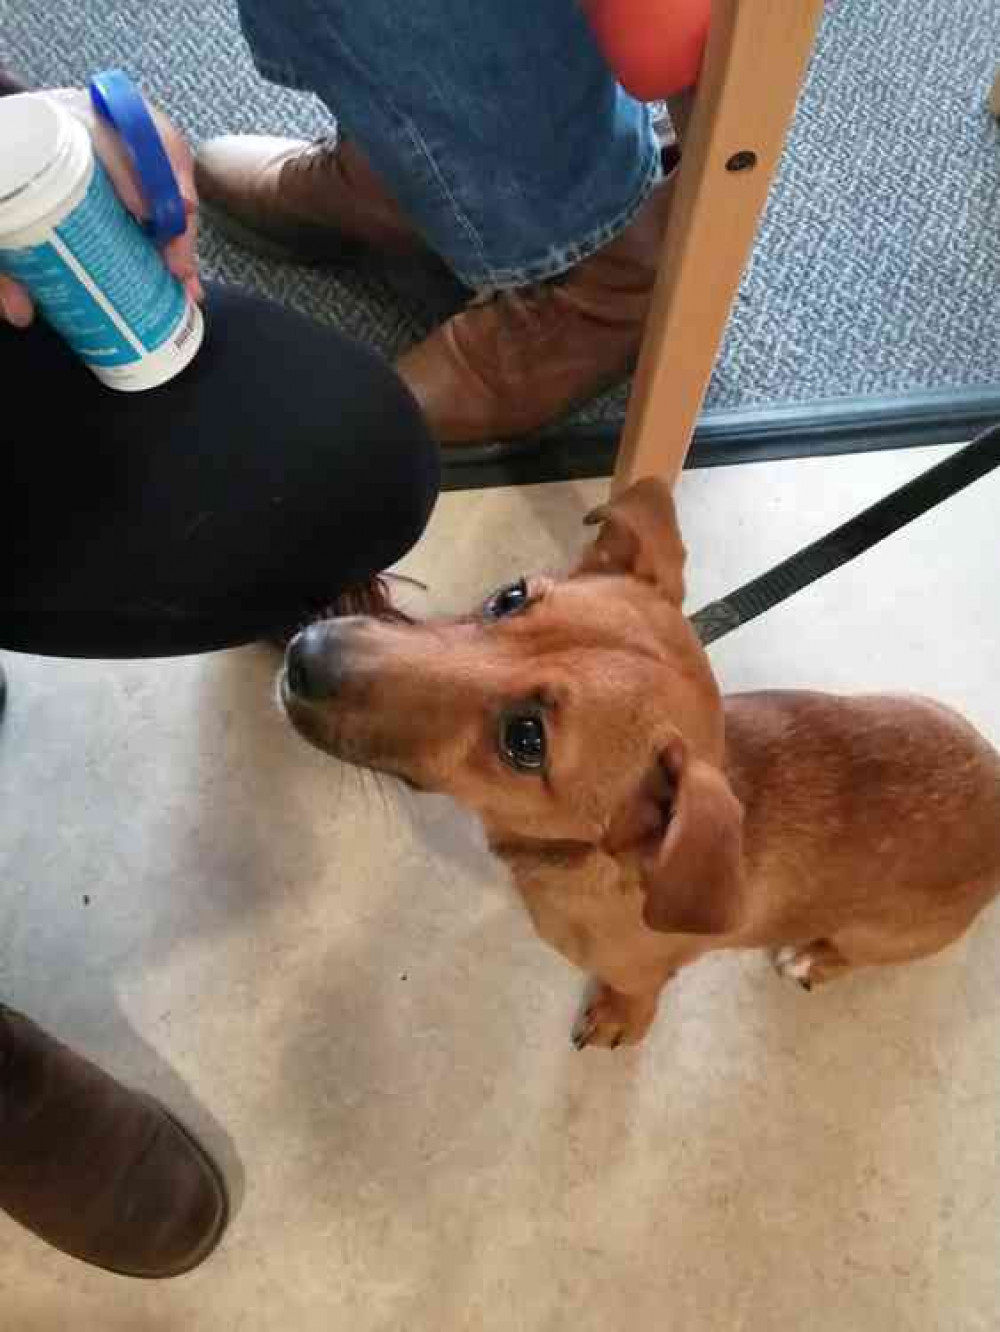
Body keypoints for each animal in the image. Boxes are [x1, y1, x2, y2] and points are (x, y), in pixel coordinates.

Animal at [279, 479, 1000, 1049]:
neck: (595, 860)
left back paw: (810, 959)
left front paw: (618, 1018)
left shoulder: (642, 970)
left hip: (882, 937)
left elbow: (635, 996)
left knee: (849, 952)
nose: (303, 654)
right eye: (509, 597)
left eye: (526, 740)